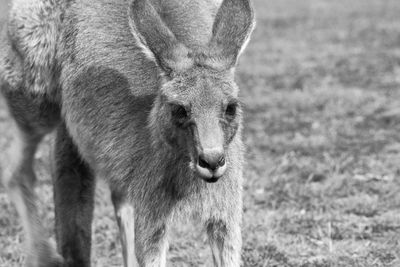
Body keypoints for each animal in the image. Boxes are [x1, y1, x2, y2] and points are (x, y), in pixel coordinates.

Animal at [0, 0, 255, 266]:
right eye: (179, 110)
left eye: (231, 107)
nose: (212, 161)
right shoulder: (152, 214)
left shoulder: (225, 211)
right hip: (36, 83)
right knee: (15, 171)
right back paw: (46, 255)